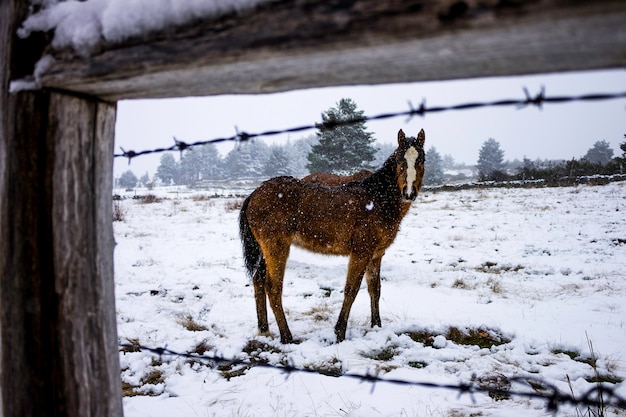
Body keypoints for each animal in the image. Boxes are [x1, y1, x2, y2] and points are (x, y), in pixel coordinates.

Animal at [239, 129, 424, 342]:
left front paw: (376, 326)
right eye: (400, 161)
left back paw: (264, 329)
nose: (409, 192)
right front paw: (340, 332)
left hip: (265, 249)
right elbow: (351, 290)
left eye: (421, 160)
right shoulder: (361, 252)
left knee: (258, 280)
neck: (377, 199)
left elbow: (374, 288)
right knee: (273, 287)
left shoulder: (376, 254)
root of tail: (253, 195)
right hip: (276, 247)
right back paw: (286, 336)